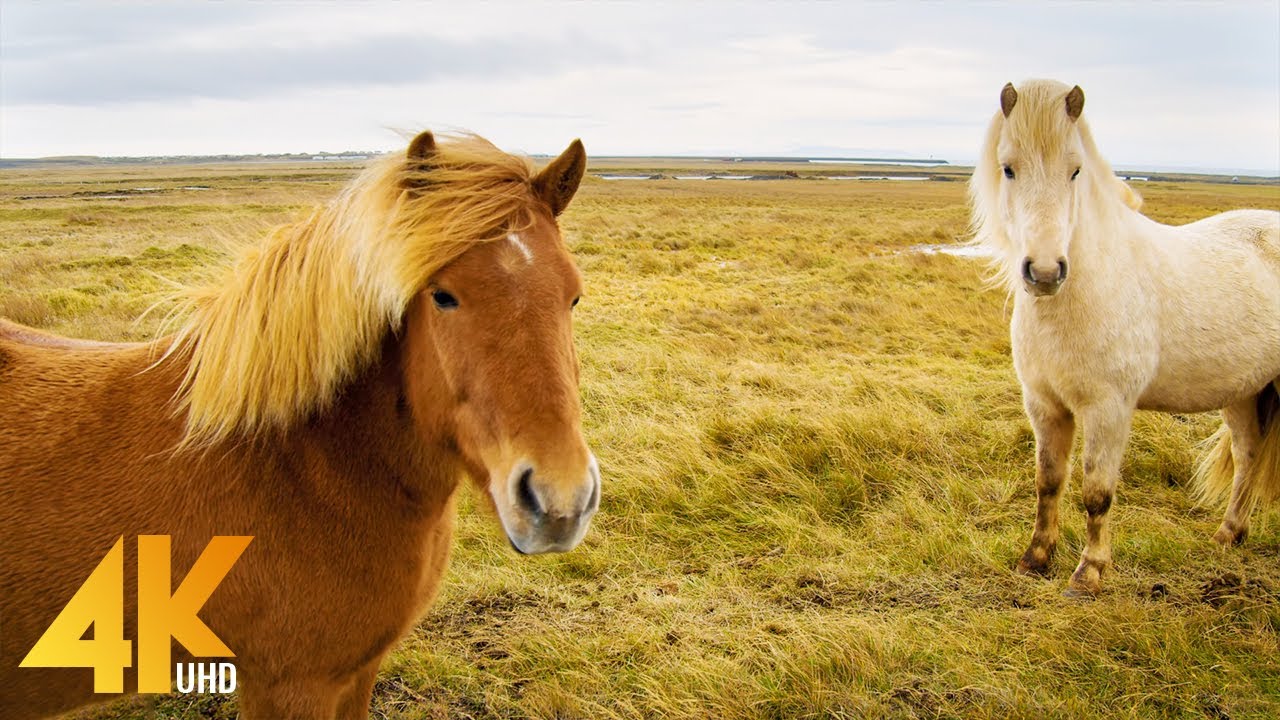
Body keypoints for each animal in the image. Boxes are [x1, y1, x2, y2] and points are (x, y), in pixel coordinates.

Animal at [0, 131, 601, 718]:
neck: (305, 467)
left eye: (573, 295)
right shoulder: (289, 685)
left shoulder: (358, 670)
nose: (559, 502)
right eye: (443, 295)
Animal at [969, 79, 1280, 596]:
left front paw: (1089, 573)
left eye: (1075, 171)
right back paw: (1228, 535)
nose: (1045, 273)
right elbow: (1048, 481)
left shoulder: (1108, 409)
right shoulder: (1044, 405)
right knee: (1249, 453)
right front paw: (1035, 558)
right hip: (1244, 391)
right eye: (1008, 168)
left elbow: (1097, 492)